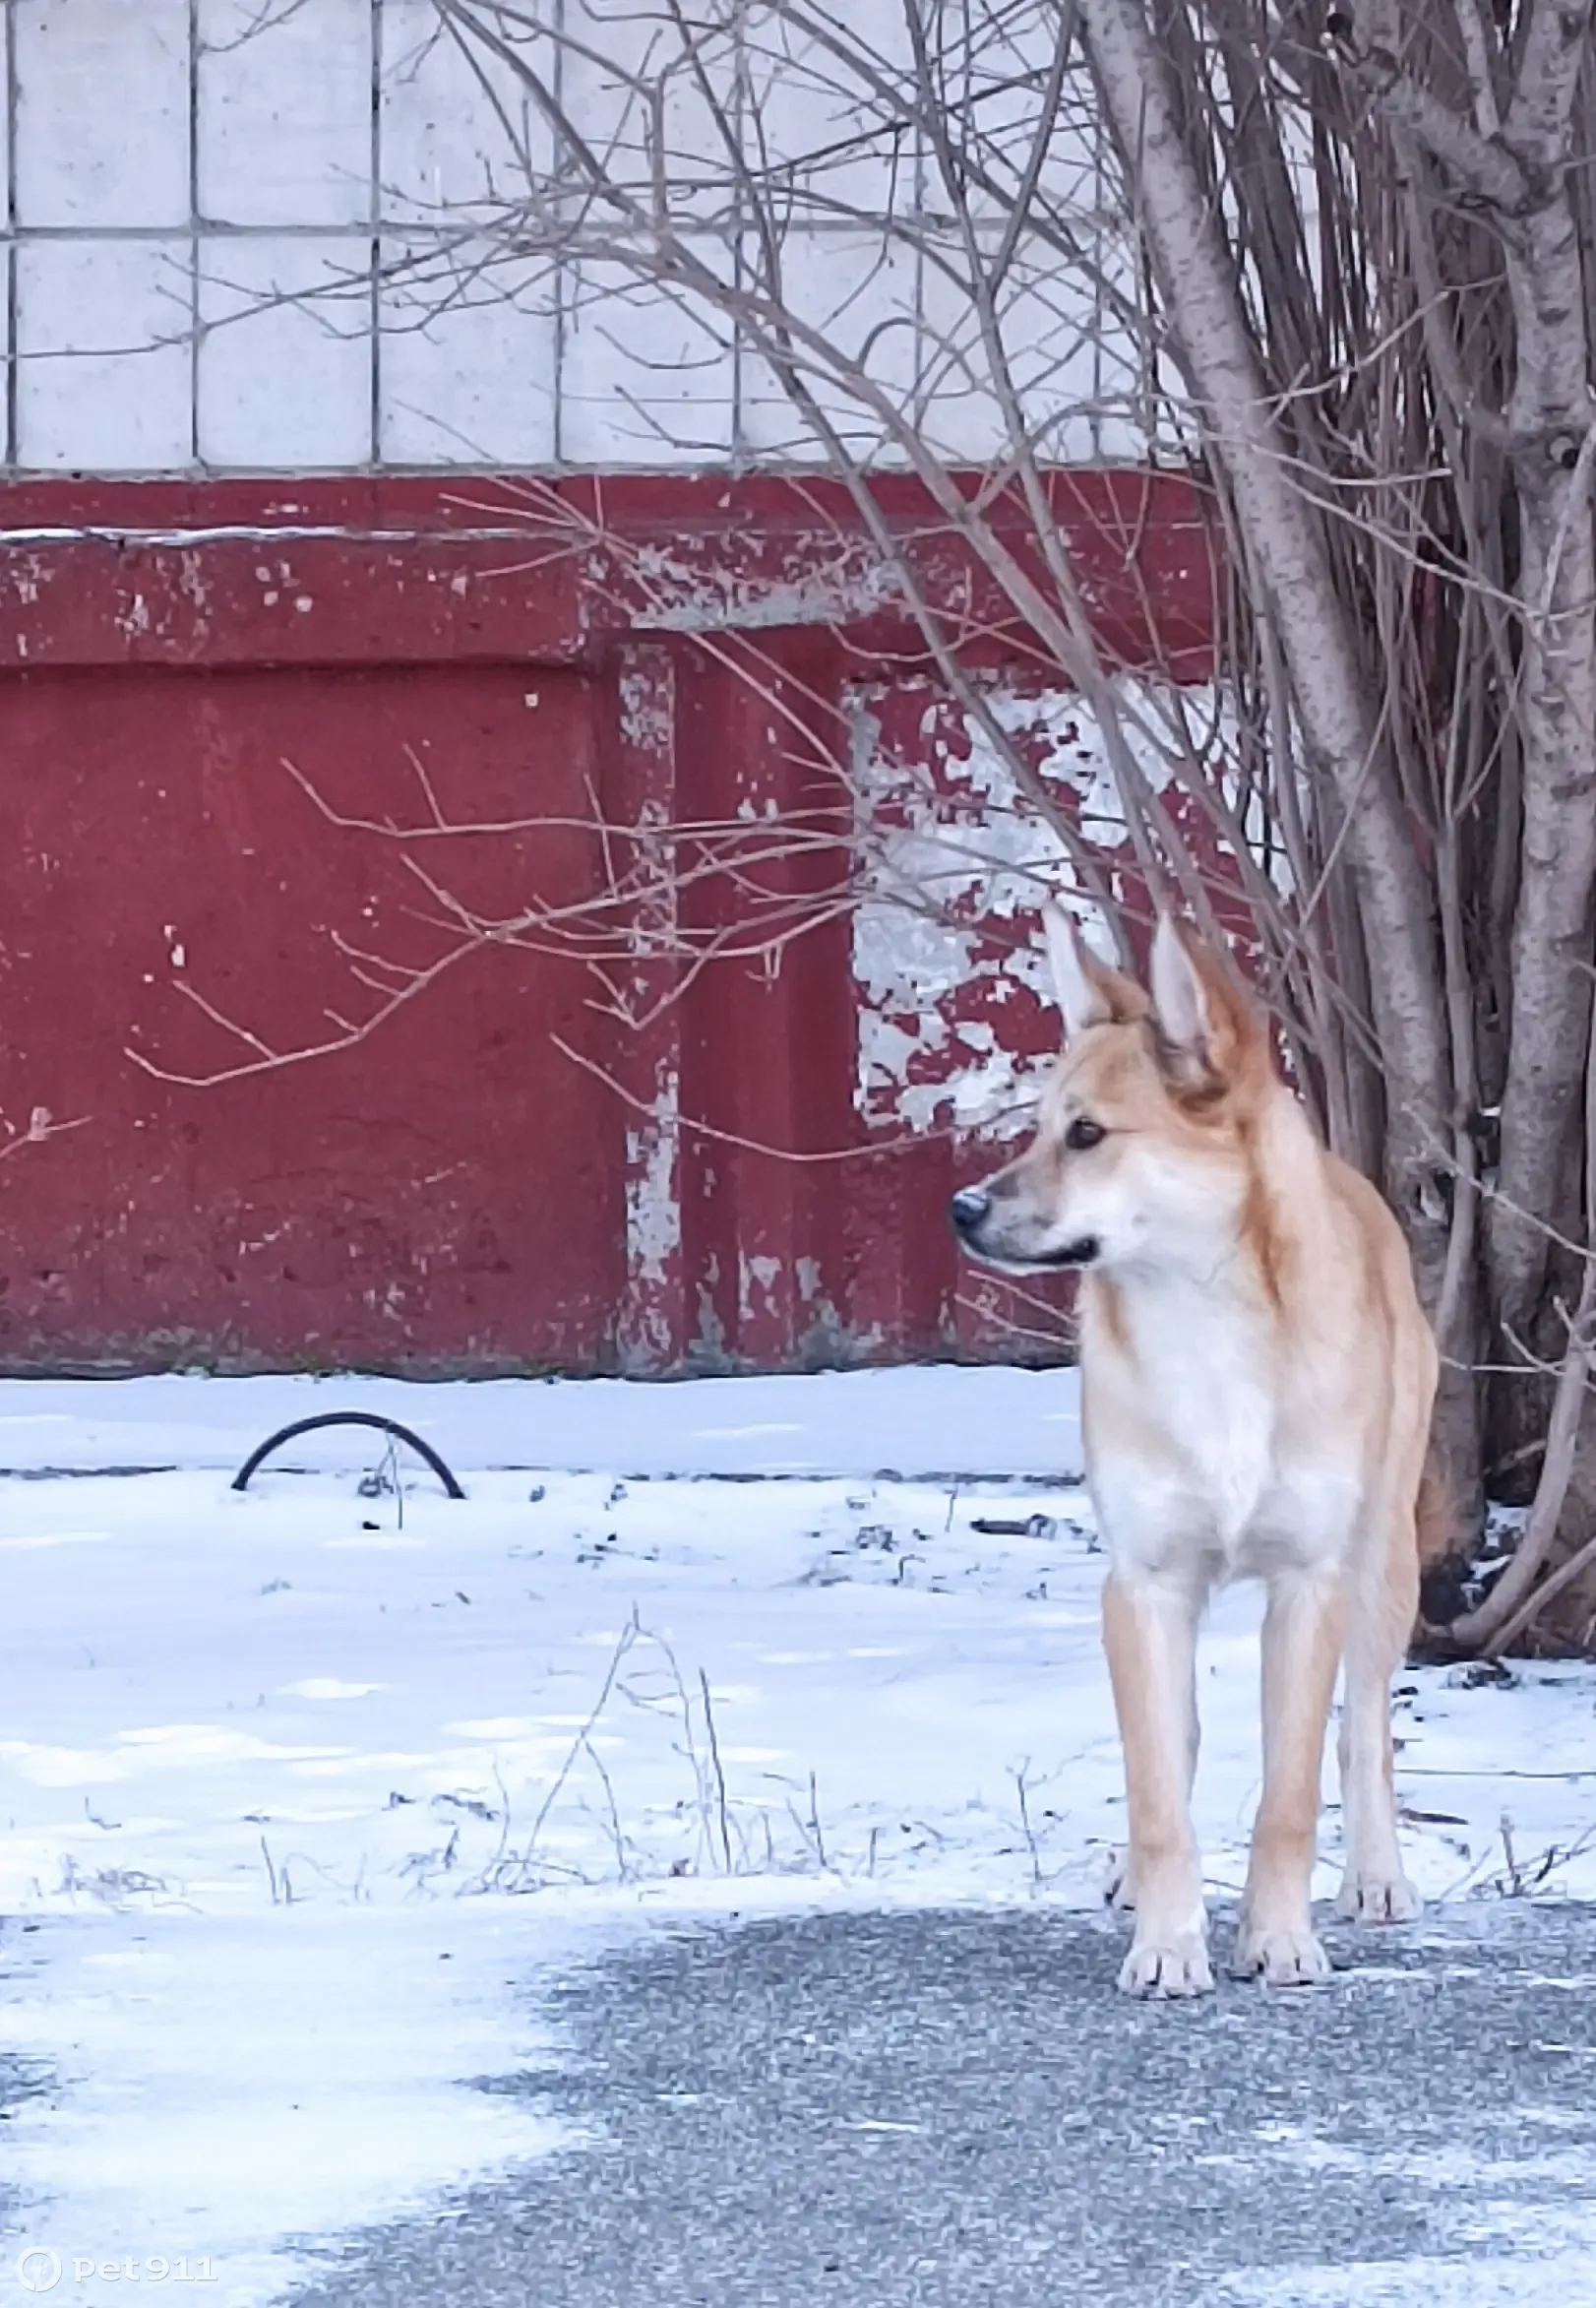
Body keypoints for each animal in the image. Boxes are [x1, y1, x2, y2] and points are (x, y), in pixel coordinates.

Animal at [946, 908, 1430, 1994]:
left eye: (1087, 1133)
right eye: (1038, 1126)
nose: (960, 1209)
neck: (1207, 1317)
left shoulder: (1310, 1584)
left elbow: (1291, 1792)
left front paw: (1279, 1937)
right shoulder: (1144, 1583)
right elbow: (1159, 1788)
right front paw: (1167, 1942)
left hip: (1386, 1561)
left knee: (1364, 1729)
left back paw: (1376, 1873)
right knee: (1179, 1743)